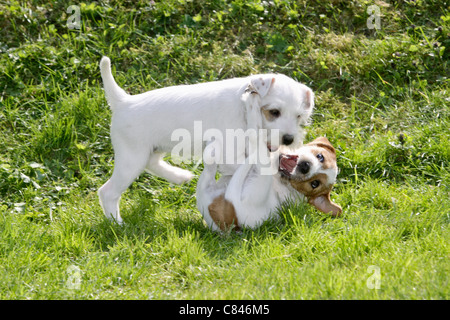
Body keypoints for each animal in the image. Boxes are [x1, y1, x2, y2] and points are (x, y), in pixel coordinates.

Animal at [98, 57, 314, 222]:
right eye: (274, 112)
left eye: (298, 116)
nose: (289, 139)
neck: (242, 109)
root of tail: (123, 102)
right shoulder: (230, 153)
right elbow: (250, 165)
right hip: (131, 159)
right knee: (107, 192)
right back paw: (118, 224)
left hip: (151, 149)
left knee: (152, 163)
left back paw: (179, 176)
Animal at [197, 136, 342, 231]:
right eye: (320, 157)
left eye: (315, 183)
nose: (305, 166)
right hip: (206, 187)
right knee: (208, 172)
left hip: (255, 188)